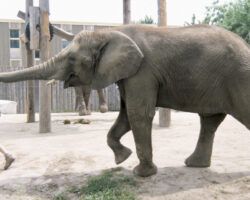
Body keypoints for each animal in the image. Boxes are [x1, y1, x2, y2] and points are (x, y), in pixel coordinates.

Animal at [0, 24, 250, 177]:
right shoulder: (127, 74)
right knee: (210, 122)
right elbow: (126, 115)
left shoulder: (142, 72)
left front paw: (141, 174)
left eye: (72, 58)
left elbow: (138, 113)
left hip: (239, 76)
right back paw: (194, 165)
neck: (112, 32)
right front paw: (122, 159)